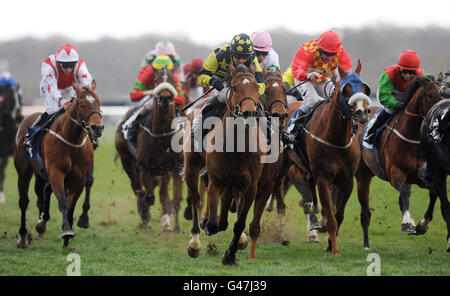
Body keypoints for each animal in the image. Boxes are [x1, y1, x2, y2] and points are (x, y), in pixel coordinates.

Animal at [13, 84, 103, 250]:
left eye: (99, 102)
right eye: (81, 104)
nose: (97, 128)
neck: (72, 141)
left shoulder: (79, 178)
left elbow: (71, 205)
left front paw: (67, 241)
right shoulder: (56, 173)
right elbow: (63, 202)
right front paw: (67, 231)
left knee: (45, 190)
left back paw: (41, 223)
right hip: (24, 172)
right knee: (23, 201)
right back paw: (23, 237)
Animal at [117, 67, 185, 231]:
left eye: (173, 80)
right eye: (156, 80)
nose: (165, 98)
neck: (162, 135)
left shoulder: (168, 167)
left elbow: (164, 194)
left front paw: (168, 222)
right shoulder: (145, 166)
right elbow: (148, 196)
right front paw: (146, 213)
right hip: (127, 160)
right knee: (137, 187)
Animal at [184, 63, 268, 264]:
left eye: (256, 87)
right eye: (235, 87)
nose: (249, 113)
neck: (237, 149)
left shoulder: (250, 186)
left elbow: (239, 223)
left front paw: (230, 254)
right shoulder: (217, 181)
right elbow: (215, 223)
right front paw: (208, 224)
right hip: (191, 166)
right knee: (196, 198)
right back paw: (195, 242)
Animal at [292, 61, 370, 256]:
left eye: (363, 87)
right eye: (346, 89)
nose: (363, 113)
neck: (336, 139)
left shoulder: (347, 181)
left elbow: (338, 215)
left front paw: (328, 243)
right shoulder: (324, 179)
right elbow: (331, 216)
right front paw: (334, 250)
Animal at [356, 75, 444, 249]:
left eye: (445, 94)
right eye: (430, 95)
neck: (413, 138)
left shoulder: (423, 176)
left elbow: (433, 192)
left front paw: (421, 225)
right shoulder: (395, 172)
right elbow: (404, 192)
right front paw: (407, 223)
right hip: (363, 175)